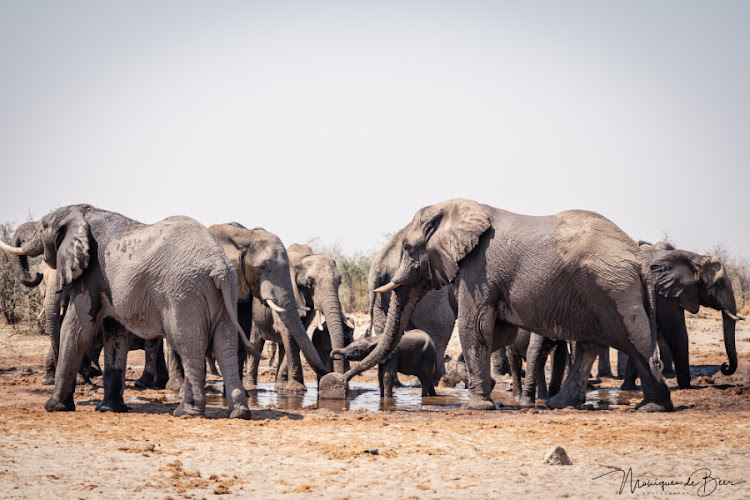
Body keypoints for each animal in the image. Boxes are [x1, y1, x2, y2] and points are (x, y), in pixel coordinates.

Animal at [0, 203, 254, 418]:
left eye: (43, 226)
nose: (36, 274)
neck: (81, 210)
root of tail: (219, 268)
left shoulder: (92, 275)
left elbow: (76, 329)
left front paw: (54, 407)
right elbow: (115, 334)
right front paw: (109, 409)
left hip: (184, 292)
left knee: (188, 345)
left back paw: (186, 412)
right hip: (225, 292)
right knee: (225, 345)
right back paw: (240, 413)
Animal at [620, 244, 744, 388]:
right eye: (718, 284)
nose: (724, 365)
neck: (696, 258)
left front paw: (628, 388)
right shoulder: (661, 292)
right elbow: (675, 331)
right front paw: (687, 387)